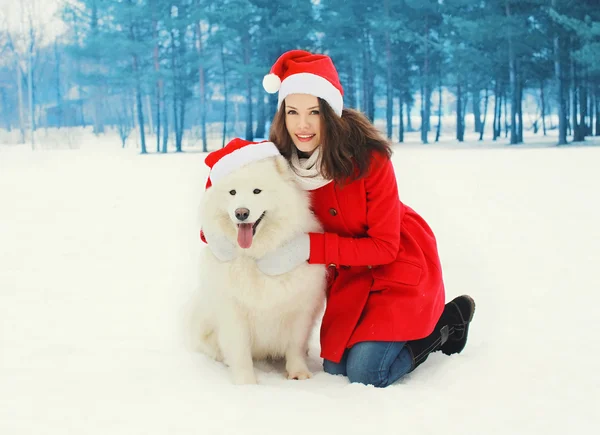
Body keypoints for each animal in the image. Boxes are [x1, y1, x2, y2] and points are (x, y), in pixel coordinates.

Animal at [190, 154, 326, 384]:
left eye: (257, 191)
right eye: (232, 192)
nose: (241, 213)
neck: (255, 256)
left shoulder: (300, 310)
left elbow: (295, 346)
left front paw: (298, 373)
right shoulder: (234, 310)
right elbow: (240, 349)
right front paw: (247, 383)